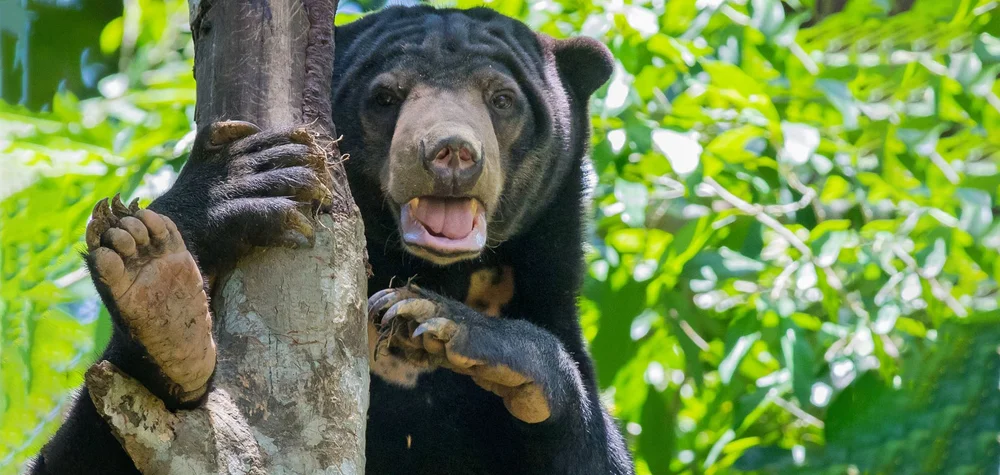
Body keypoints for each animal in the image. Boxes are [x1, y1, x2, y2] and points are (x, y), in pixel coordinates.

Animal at [30, 6, 634, 475]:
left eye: (502, 99)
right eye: (386, 98)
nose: (451, 153)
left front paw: (445, 325)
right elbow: (71, 455)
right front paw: (210, 212)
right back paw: (154, 288)